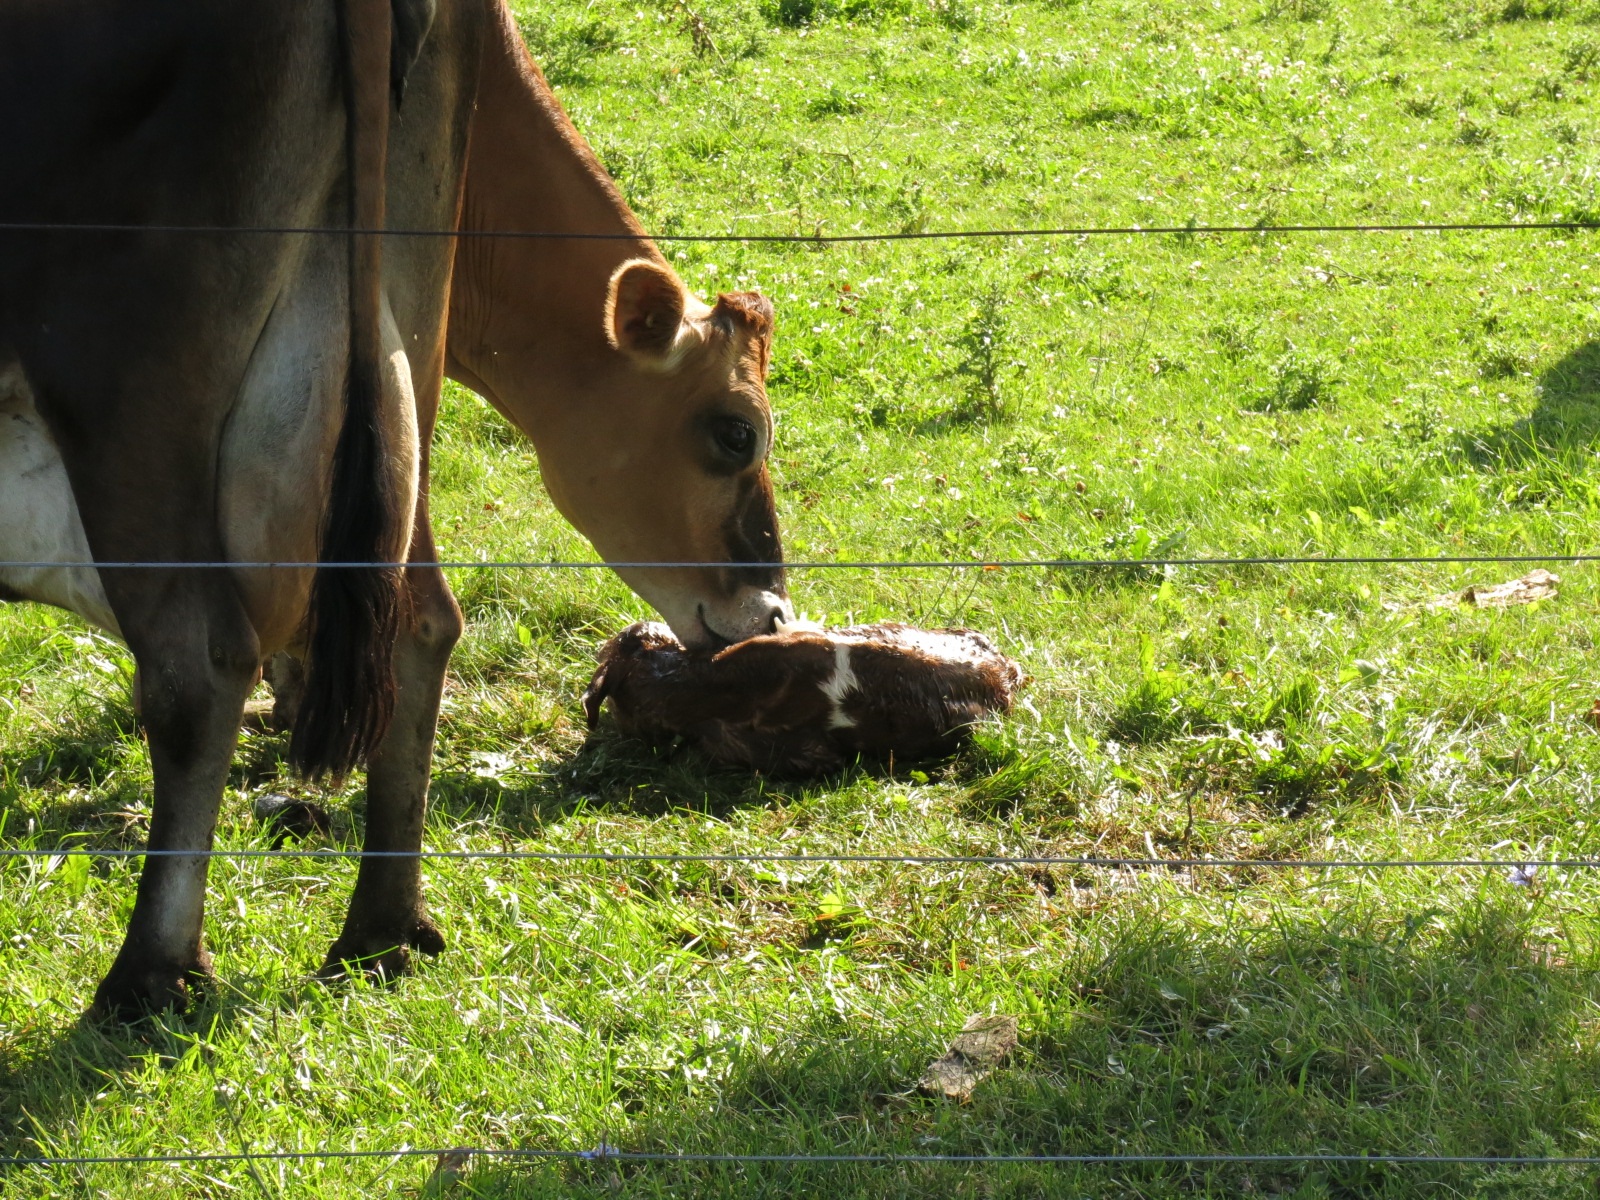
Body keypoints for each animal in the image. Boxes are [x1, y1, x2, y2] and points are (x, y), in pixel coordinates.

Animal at [0, 0, 791, 1018]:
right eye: (737, 432)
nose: (771, 612)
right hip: (391, 360)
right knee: (421, 622)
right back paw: (379, 930)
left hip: (126, 395)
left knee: (196, 664)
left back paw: (149, 975)